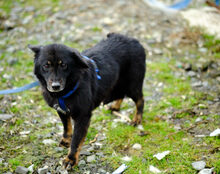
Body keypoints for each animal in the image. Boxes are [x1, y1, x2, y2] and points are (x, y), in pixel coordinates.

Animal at [29, 33, 146, 168]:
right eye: (46, 65)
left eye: (64, 65)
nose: (55, 86)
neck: (64, 92)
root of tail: (133, 40)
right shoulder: (61, 110)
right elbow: (66, 127)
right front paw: (66, 140)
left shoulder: (83, 116)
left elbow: (76, 140)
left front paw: (70, 159)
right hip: (118, 82)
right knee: (120, 94)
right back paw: (115, 106)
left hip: (132, 85)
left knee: (140, 100)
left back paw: (136, 119)